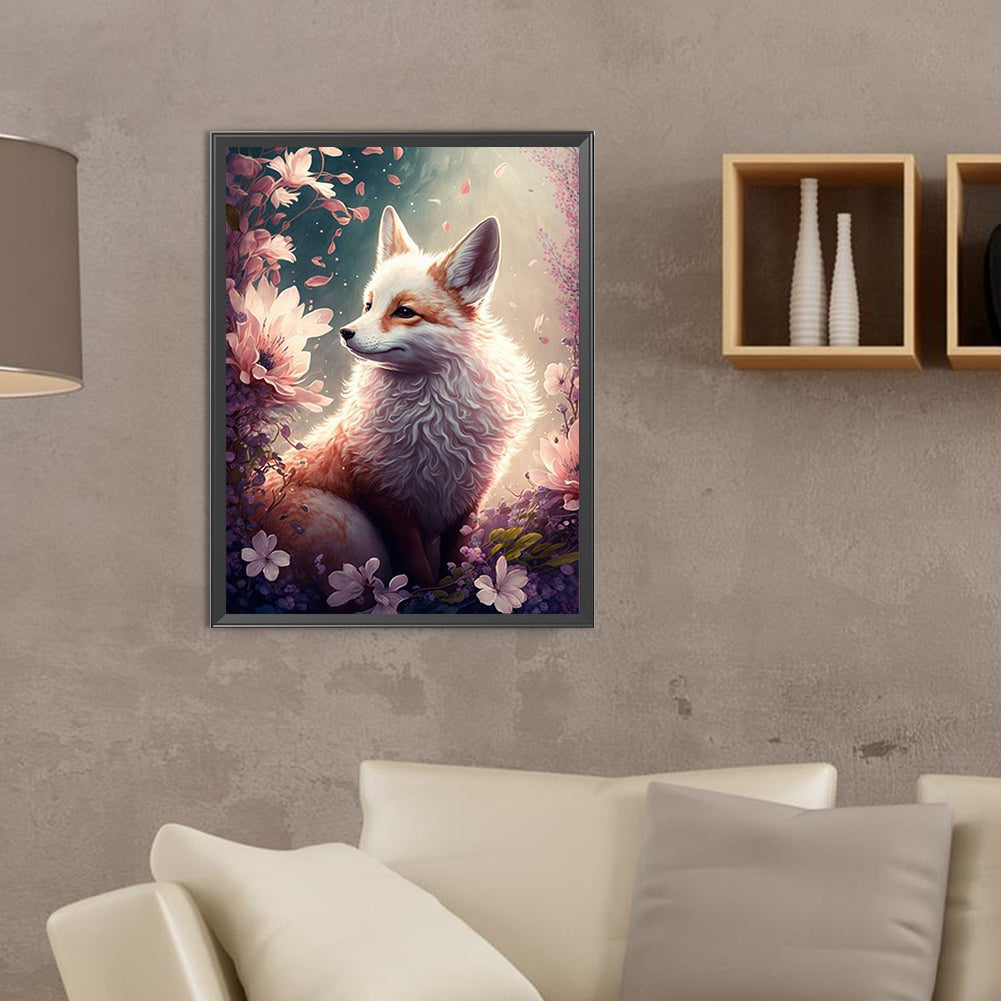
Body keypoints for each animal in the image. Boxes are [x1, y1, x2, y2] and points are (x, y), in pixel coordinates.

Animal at [264, 204, 541, 589]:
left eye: (404, 311)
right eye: (368, 305)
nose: (345, 332)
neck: (434, 422)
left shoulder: (468, 497)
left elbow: (455, 558)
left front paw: (459, 587)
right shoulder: (388, 498)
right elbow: (416, 569)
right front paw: (424, 594)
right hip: (354, 528)